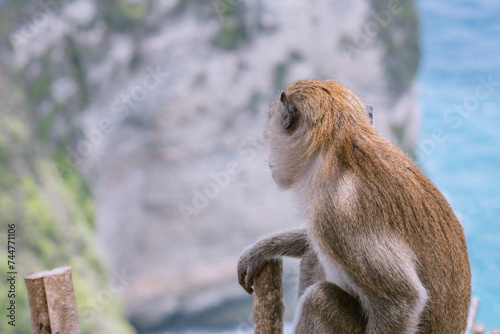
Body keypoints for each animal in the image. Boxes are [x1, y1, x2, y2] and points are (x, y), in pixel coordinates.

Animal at [236, 79, 470, 332]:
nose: (270, 158)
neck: (337, 150)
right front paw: (261, 249)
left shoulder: (336, 211)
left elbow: (402, 301)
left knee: (320, 299)